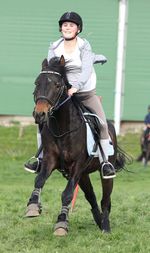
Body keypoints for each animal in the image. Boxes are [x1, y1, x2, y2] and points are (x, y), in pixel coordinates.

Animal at [25, 55, 126, 235]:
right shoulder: (50, 160)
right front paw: (33, 206)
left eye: (57, 85)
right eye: (37, 83)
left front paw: (61, 223)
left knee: (105, 199)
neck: (63, 128)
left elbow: (67, 194)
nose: (39, 114)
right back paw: (98, 221)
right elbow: (39, 180)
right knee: (91, 197)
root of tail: (111, 126)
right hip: (84, 176)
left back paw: (105, 227)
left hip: (102, 173)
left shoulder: (77, 166)